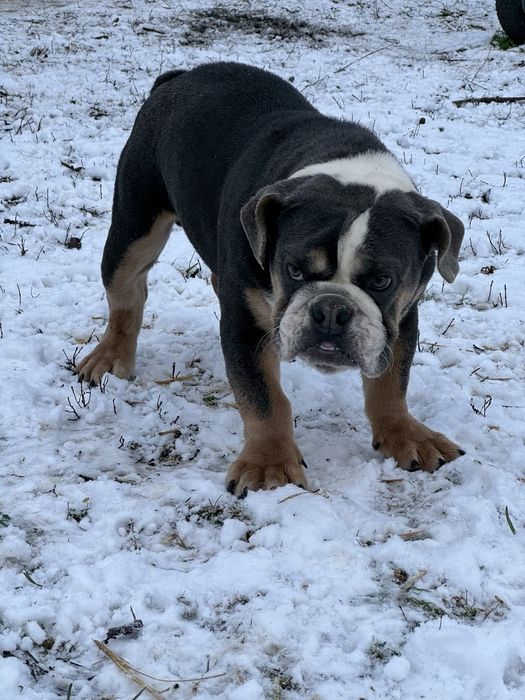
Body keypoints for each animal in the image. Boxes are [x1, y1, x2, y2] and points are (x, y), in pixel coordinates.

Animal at [76, 62, 465, 496]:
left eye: (382, 281)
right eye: (293, 270)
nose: (331, 310)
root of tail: (180, 75)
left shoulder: (401, 318)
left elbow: (391, 382)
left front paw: (406, 434)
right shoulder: (245, 326)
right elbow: (264, 396)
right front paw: (269, 464)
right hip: (134, 223)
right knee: (126, 293)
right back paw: (109, 357)